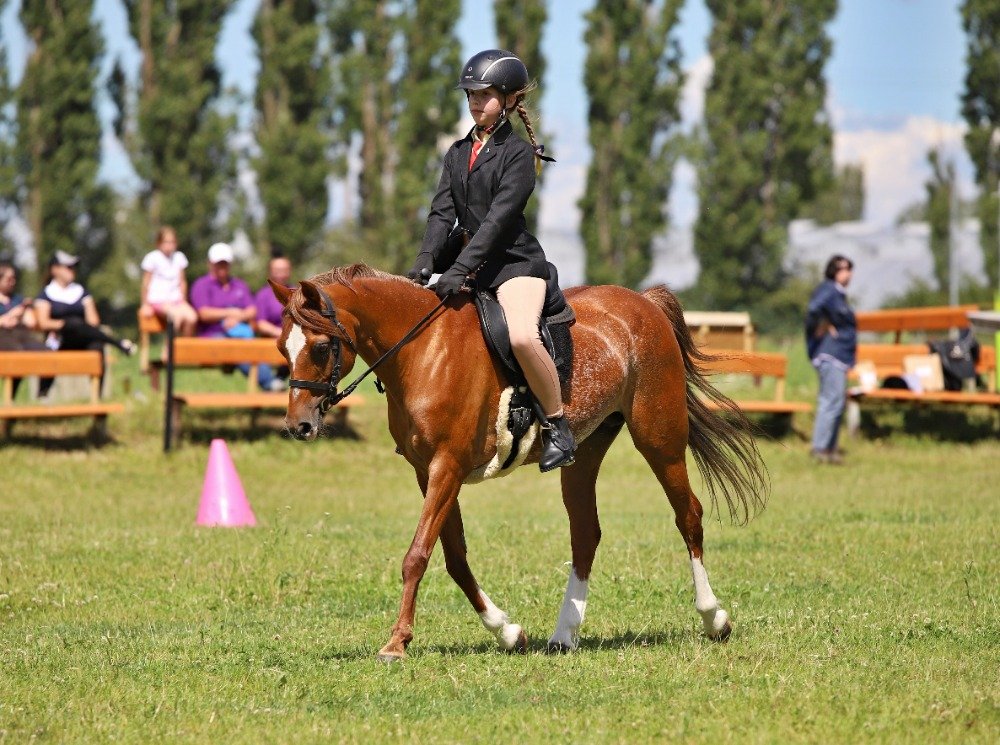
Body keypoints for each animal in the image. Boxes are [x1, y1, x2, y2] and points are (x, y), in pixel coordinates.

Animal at [270, 264, 768, 660]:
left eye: (319, 347)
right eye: (280, 348)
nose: (299, 426)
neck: (422, 350)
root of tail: (643, 301)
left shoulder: (447, 466)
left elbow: (418, 554)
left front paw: (396, 643)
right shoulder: (427, 471)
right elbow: (454, 557)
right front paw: (508, 632)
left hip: (658, 438)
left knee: (689, 516)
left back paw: (714, 619)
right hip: (584, 452)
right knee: (586, 534)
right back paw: (564, 635)